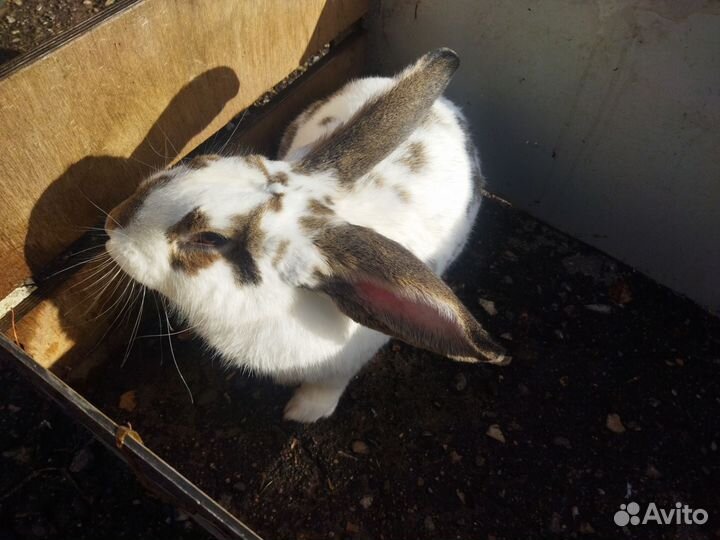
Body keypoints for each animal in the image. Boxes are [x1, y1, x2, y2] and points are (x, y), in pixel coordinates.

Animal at [104, 48, 509, 423]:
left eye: (211, 239)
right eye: (204, 162)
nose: (113, 221)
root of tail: (448, 106)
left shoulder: (343, 365)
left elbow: (327, 387)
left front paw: (301, 413)